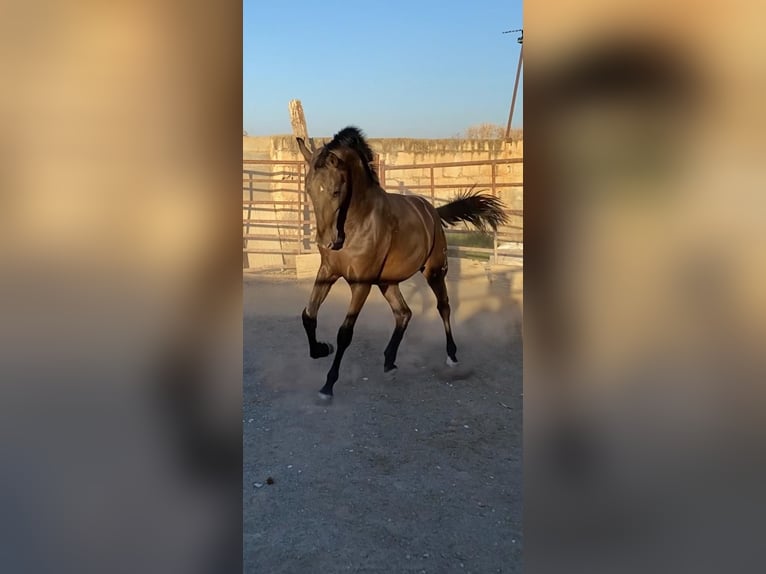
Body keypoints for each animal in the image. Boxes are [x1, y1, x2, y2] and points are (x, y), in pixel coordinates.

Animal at [296, 126, 508, 400]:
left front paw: (328, 386)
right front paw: (322, 348)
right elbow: (308, 315)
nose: (325, 242)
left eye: (335, 191)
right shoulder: (328, 272)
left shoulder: (361, 283)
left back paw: (451, 355)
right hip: (388, 282)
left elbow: (345, 333)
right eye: (309, 190)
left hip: (434, 271)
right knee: (404, 313)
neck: (357, 222)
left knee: (443, 306)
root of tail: (432, 211)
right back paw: (389, 362)